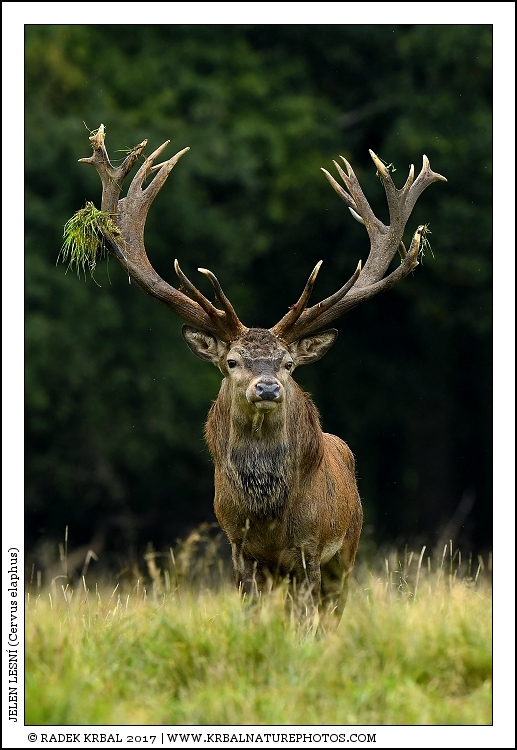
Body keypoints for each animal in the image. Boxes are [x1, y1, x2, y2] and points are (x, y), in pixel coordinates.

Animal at [76, 124, 446, 620]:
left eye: (288, 364)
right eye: (232, 362)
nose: (268, 387)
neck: (268, 516)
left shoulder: (312, 547)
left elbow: (308, 617)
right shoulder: (237, 544)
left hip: (347, 548)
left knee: (331, 610)